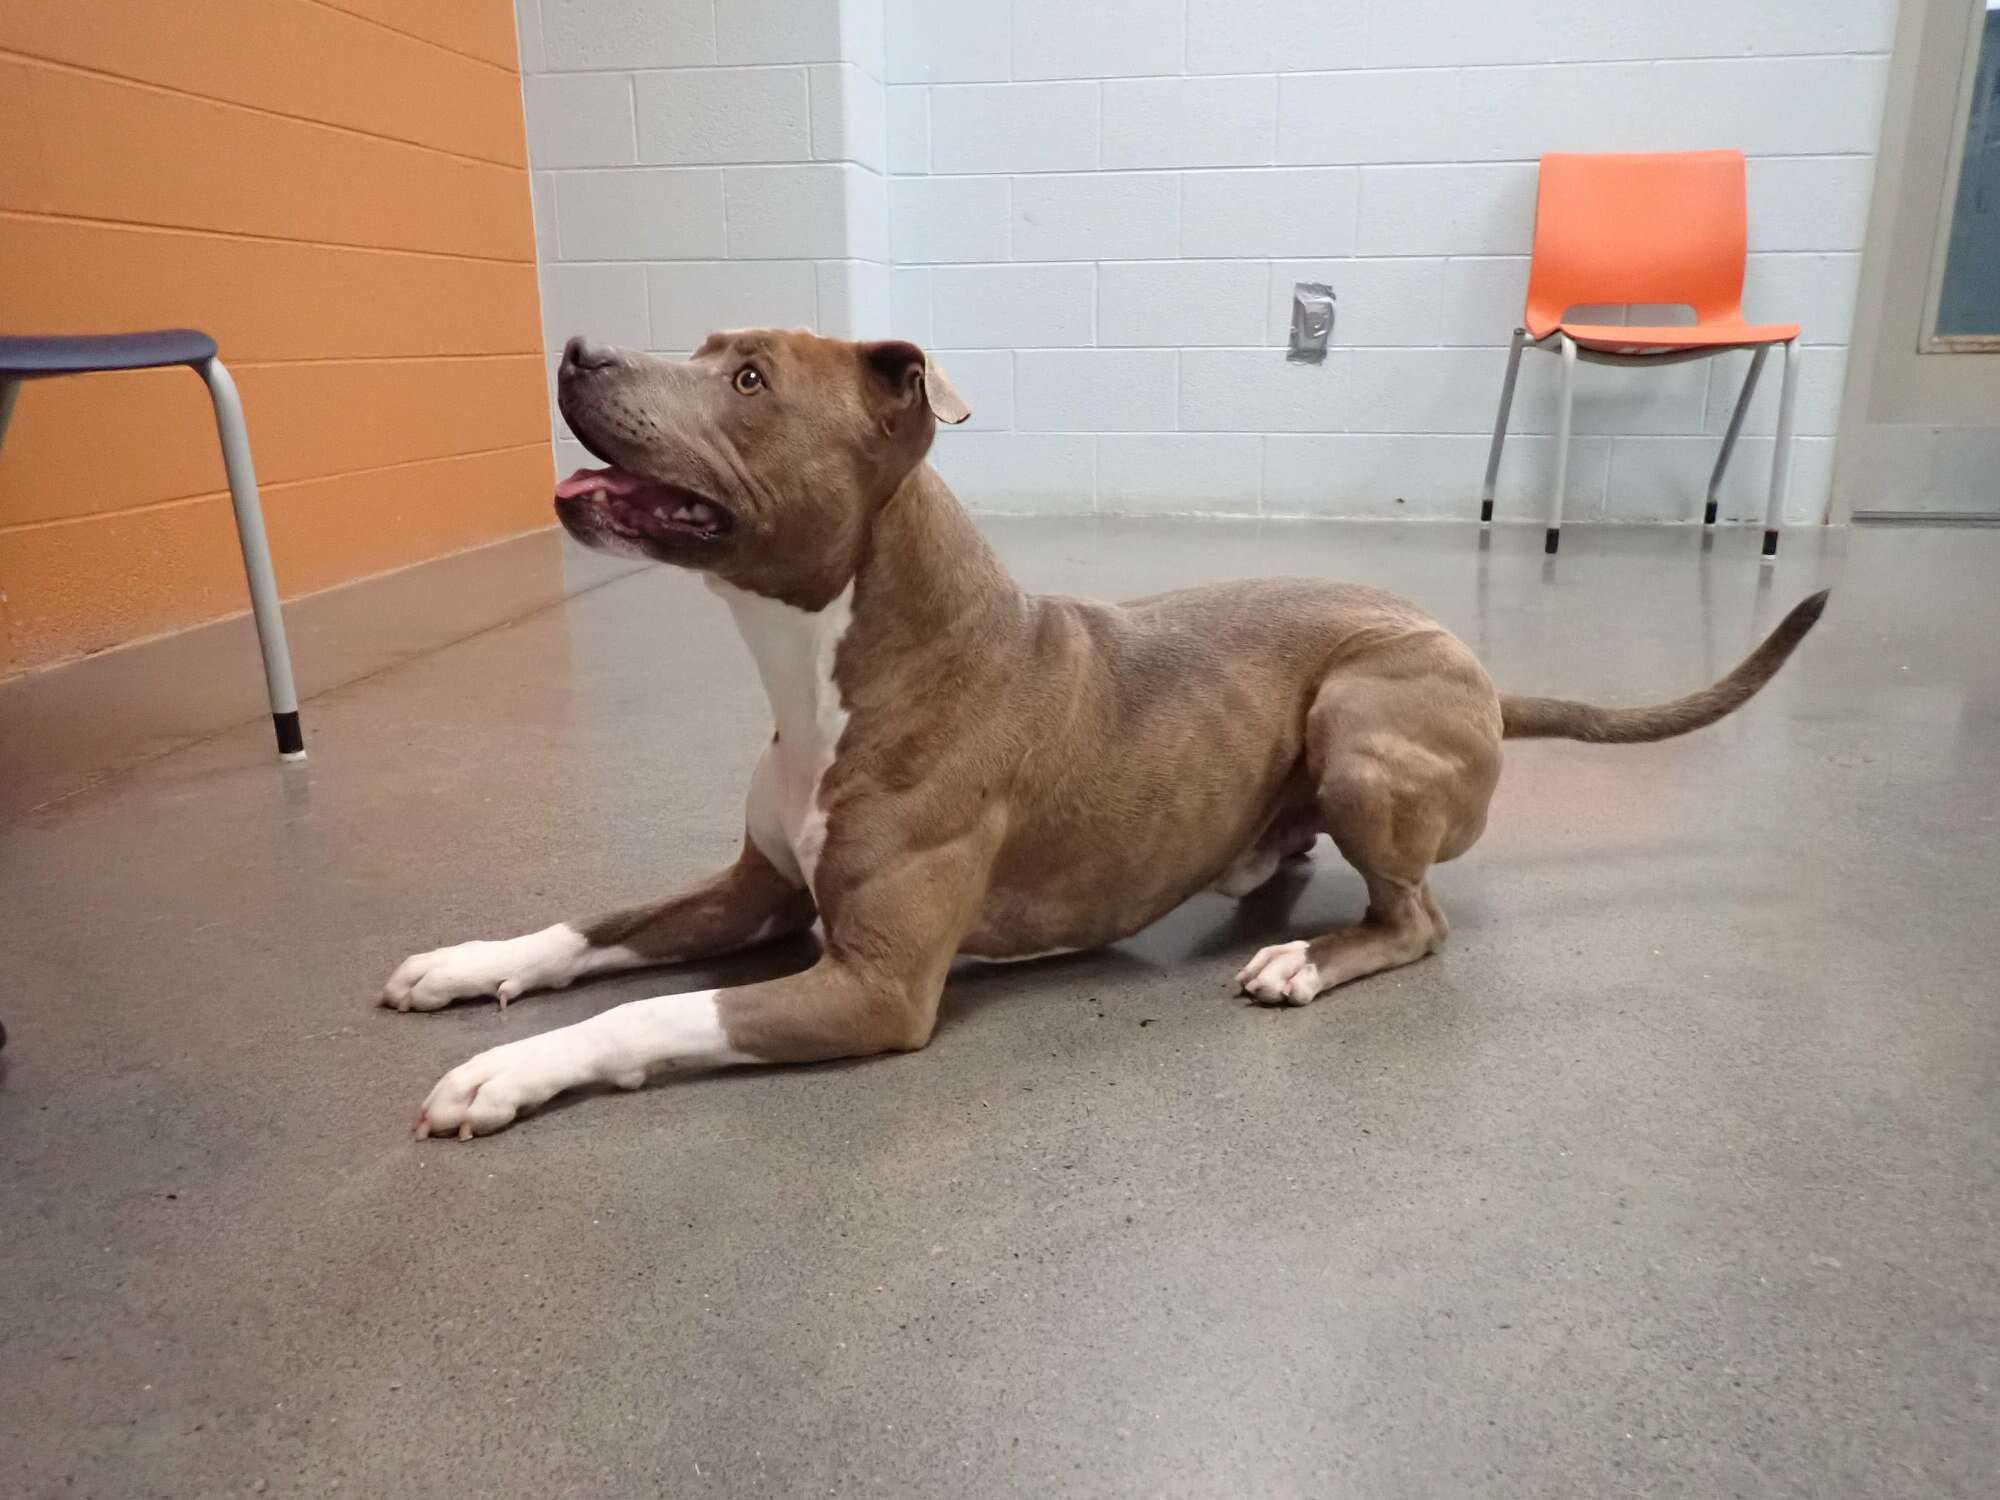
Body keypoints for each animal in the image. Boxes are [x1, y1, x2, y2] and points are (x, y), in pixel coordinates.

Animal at [382, 328, 1832, 1136]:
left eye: (745, 378)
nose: (576, 348)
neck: (828, 668)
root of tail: (1479, 673)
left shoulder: (872, 985)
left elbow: (649, 1012)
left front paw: (505, 1070)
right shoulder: (753, 887)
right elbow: (594, 929)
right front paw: (467, 965)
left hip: (1361, 718)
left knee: (1413, 919)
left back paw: (1305, 959)